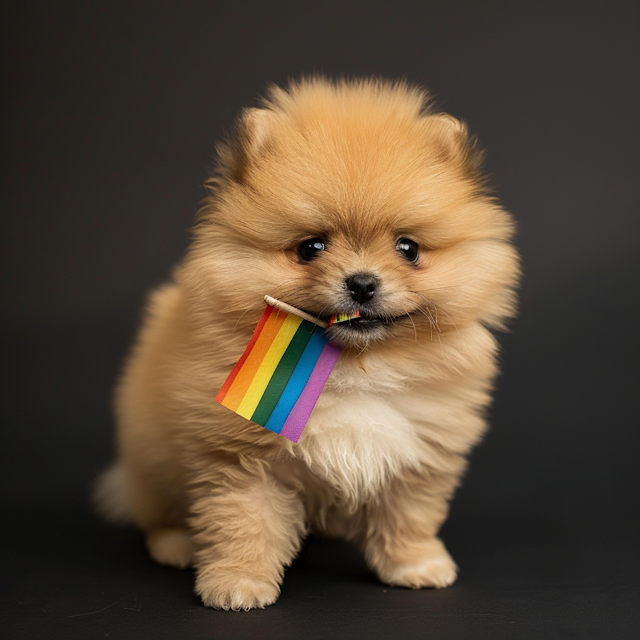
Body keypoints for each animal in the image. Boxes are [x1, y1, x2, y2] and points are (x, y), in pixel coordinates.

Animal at [97, 77, 524, 612]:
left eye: (408, 248)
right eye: (310, 248)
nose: (361, 283)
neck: (352, 367)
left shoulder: (419, 448)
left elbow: (409, 514)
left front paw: (416, 565)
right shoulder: (241, 457)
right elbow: (243, 523)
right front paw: (238, 583)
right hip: (153, 455)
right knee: (158, 511)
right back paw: (177, 544)